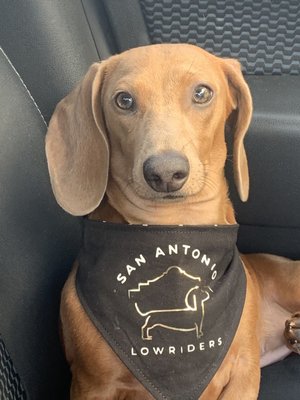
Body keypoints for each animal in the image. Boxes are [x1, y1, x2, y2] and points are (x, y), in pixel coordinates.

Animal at [45, 42, 300, 398]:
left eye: (202, 92)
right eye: (123, 100)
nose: (165, 173)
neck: (175, 227)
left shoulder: (244, 371)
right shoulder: (92, 385)